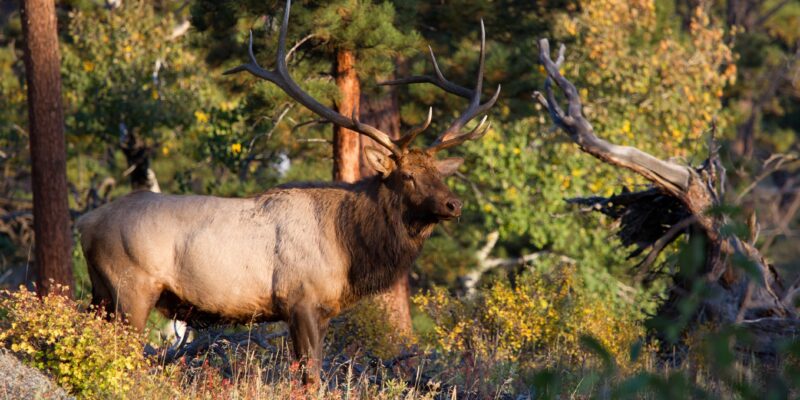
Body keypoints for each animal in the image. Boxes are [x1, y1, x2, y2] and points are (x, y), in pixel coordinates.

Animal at [76, 0, 499, 384]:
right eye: (408, 174)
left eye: (439, 173)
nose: (453, 204)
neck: (350, 248)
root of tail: (85, 223)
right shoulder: (301, 300)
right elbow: (311, 377)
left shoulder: (324, 309)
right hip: (131, 289)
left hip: (101, 292)